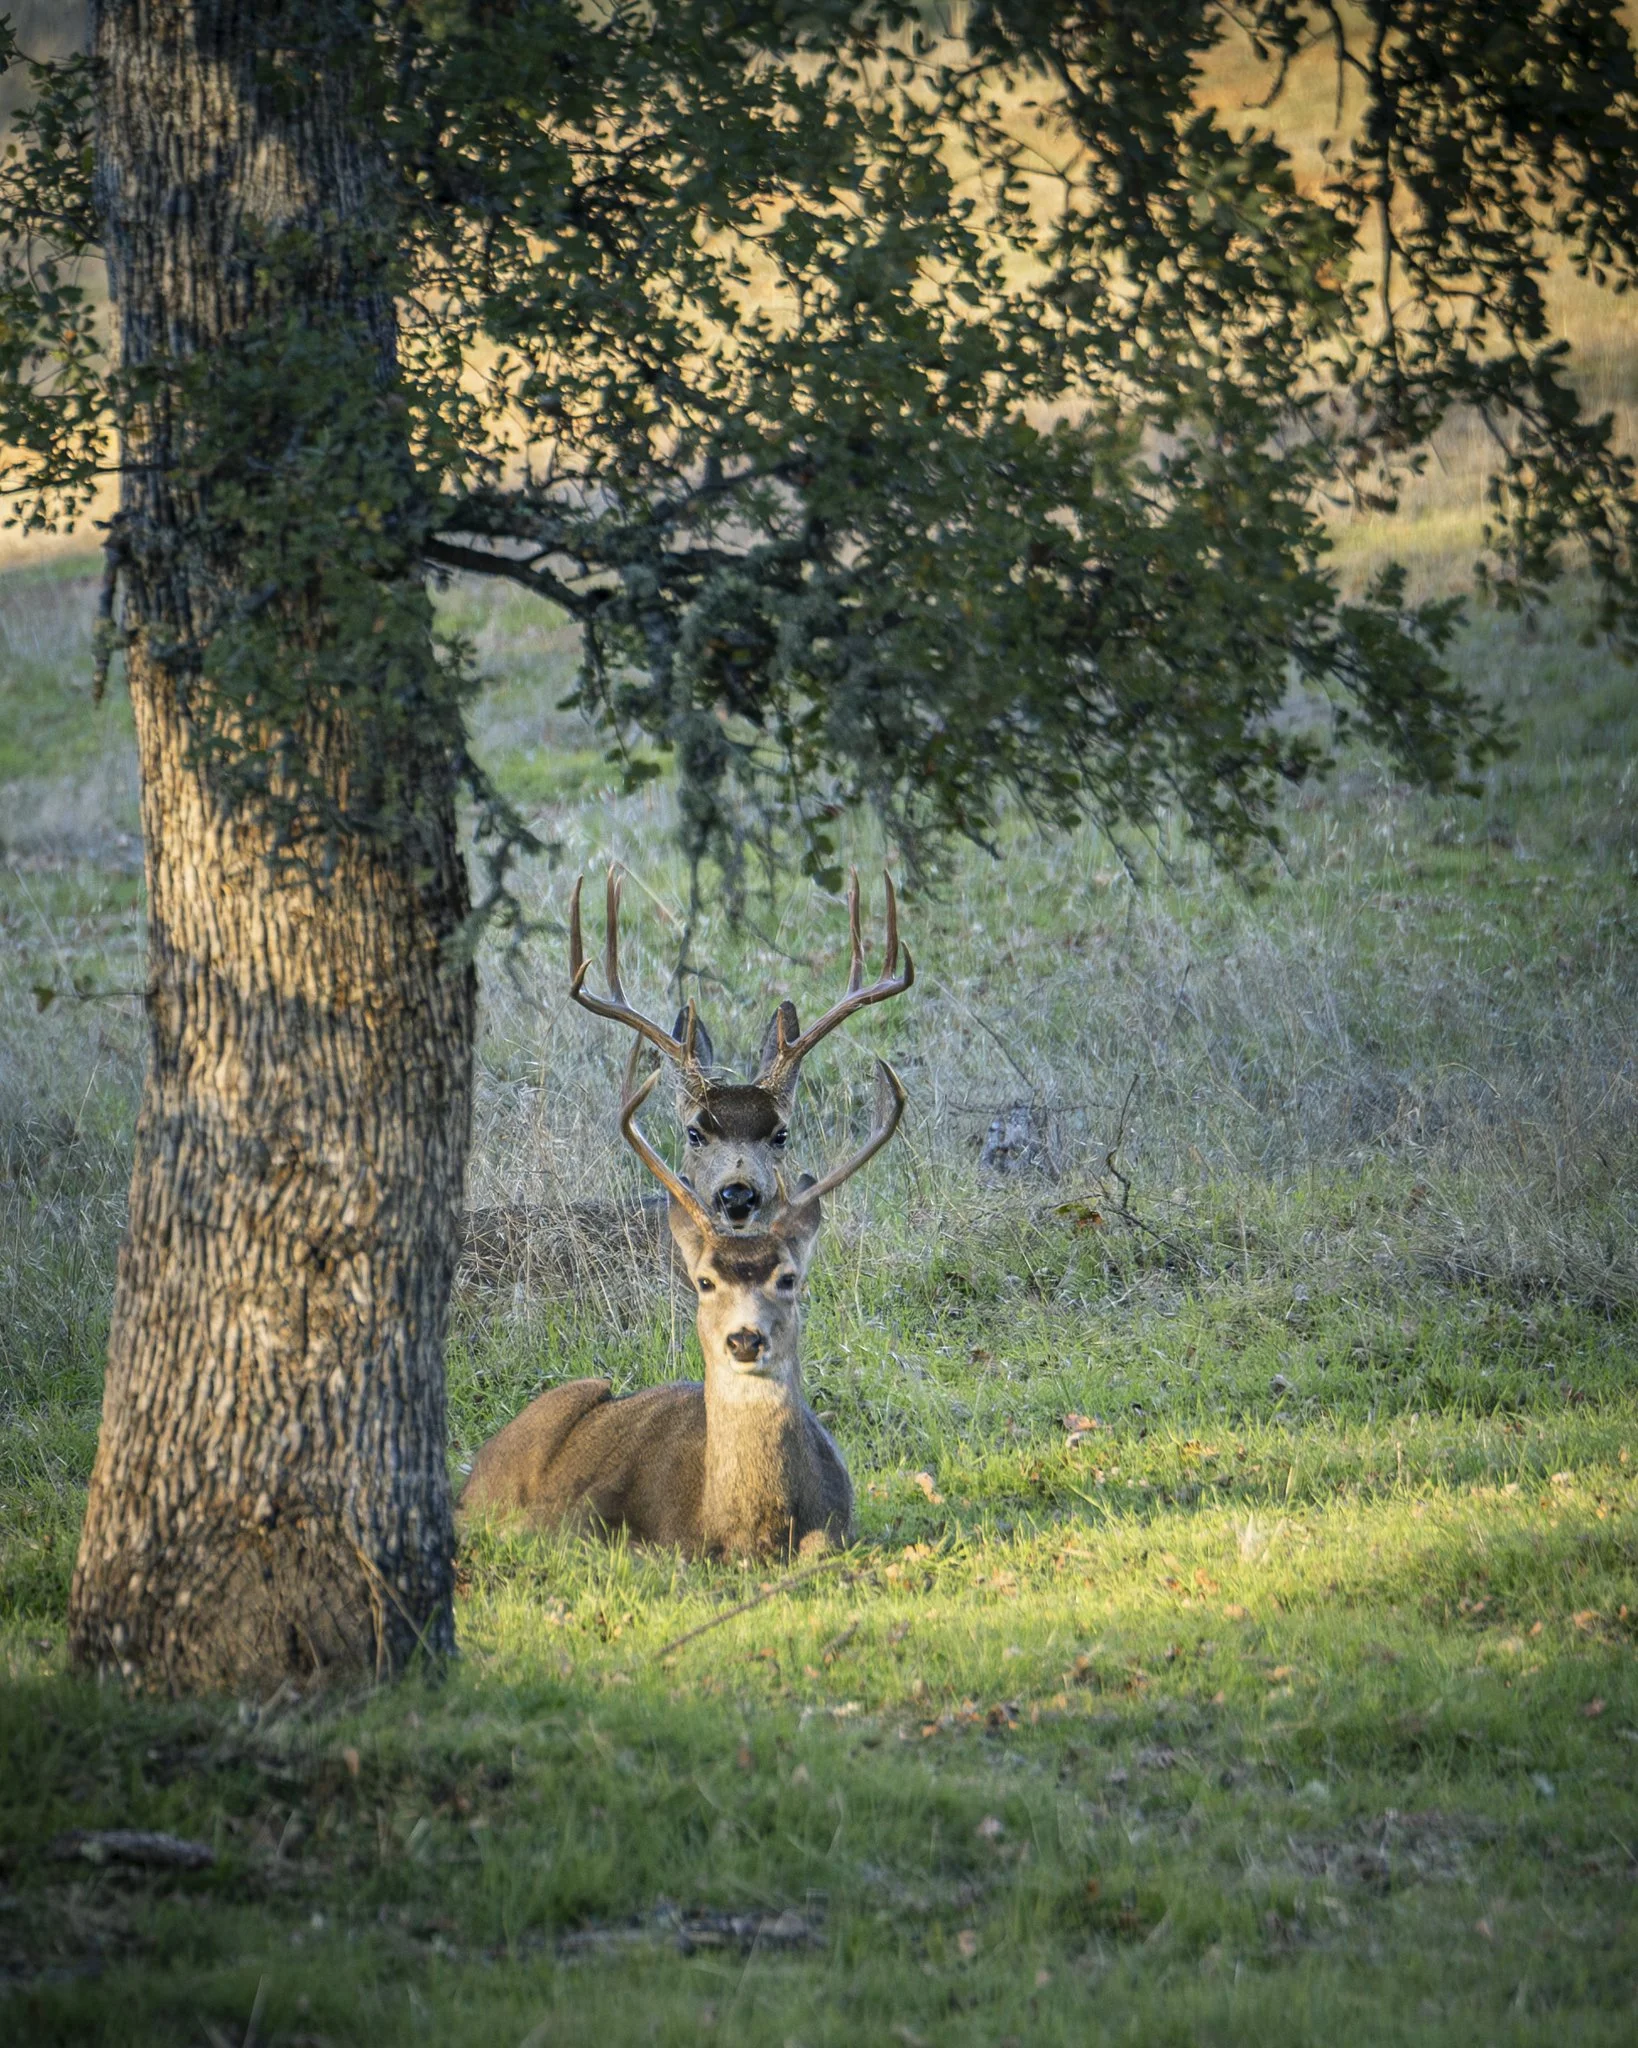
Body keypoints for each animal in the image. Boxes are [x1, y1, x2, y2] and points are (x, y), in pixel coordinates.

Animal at [458, 1057, 907, 1557]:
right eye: (705, 1281)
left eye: (788, 1278)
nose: (745, 1339)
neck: (743, 1530)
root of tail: (473, 1469)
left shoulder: (838, 1529)